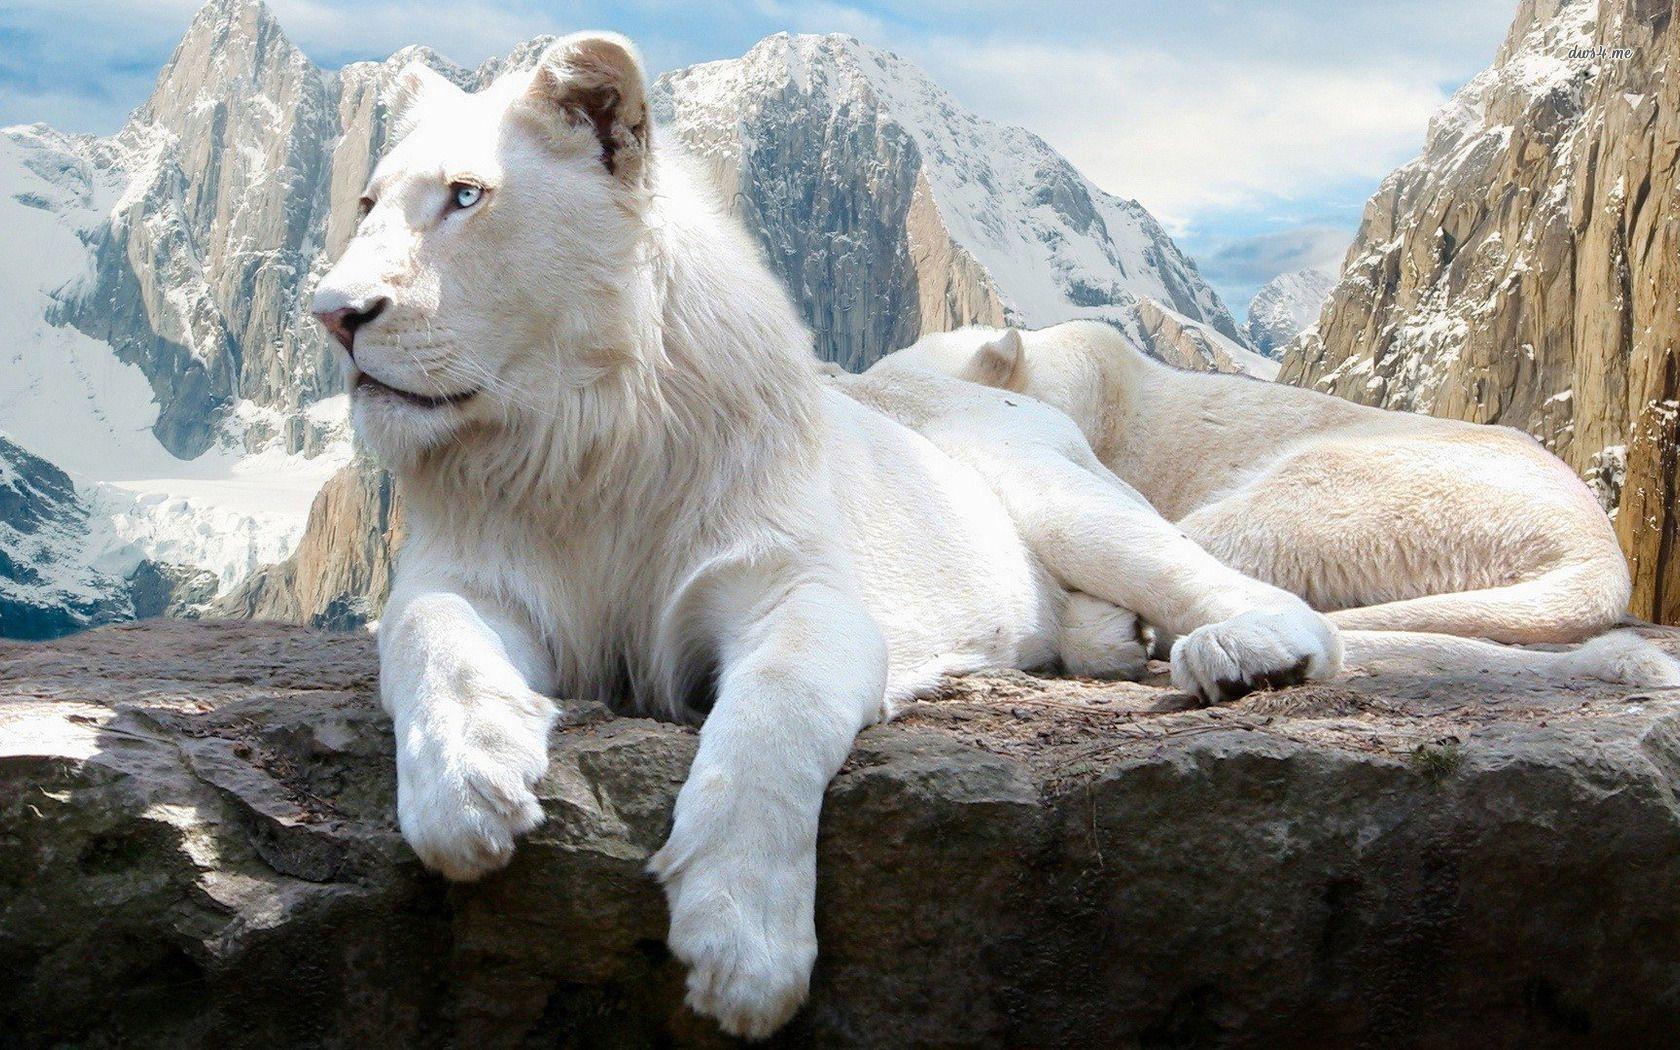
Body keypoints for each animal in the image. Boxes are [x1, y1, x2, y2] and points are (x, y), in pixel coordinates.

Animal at [308, 35, 1345, 1038]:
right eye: (365, 203)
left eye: (466, 196)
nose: (333, 315)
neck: (578, 438)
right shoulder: (471, 578)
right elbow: (430, 636)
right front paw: (465, 786)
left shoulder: (795, 588)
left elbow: (773, 716)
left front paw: (742, 946)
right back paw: (1110, 643)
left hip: (1059, 497)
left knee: (1246, 594)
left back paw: (1242, 653)